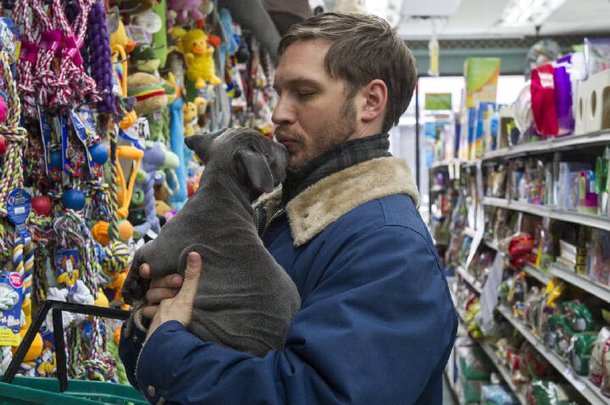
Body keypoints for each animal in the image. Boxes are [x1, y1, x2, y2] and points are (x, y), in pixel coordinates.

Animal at [121, 126, 300, 354]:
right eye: (269, 151)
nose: (285, 149)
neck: (221, 188)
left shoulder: (158, 252)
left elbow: (138, 255)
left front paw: (130, 288)